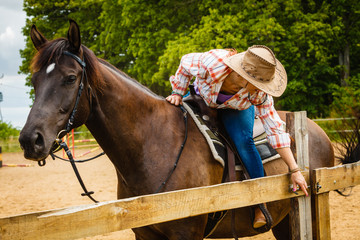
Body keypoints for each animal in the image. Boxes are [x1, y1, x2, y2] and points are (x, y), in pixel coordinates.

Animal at [19, 19, 334, 239]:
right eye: (34, 79)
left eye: (71, 78)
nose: (30, 140)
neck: (152, 143)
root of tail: (314, 129)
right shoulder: (144, 234)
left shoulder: (186, 233)